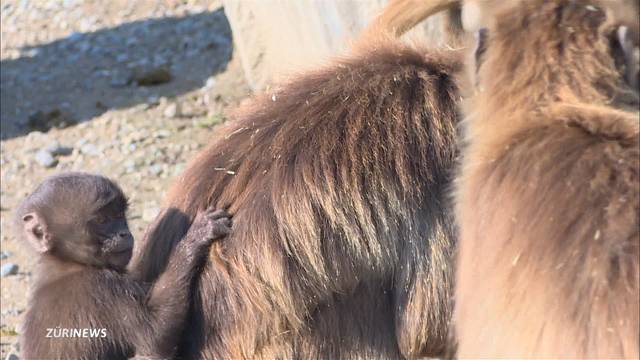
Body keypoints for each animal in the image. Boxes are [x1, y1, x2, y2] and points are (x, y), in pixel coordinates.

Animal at [16, 172, 232, 360]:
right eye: (102, 220)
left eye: (119, 214)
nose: (124, 233)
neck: (68, 263)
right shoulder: (102, 289)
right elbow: (154, 338)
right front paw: (196, 237)